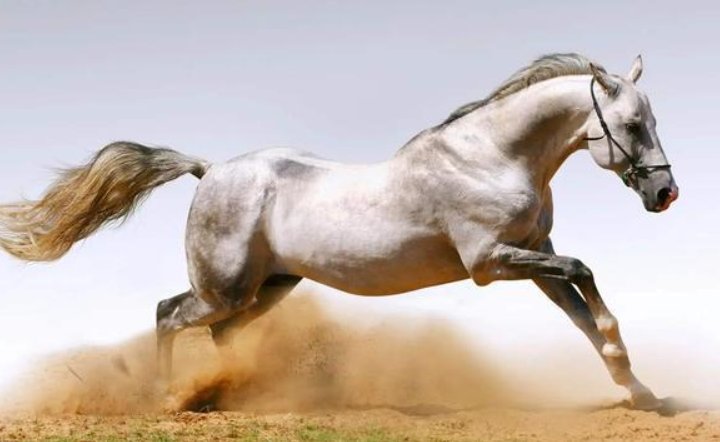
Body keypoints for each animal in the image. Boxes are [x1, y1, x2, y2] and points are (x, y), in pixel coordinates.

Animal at [0, 53, 678, 410]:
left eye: (650, 121)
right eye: (630, 124)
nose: (665, 194)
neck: (491, 156)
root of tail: (209, 171)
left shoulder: (535, 253)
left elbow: (583, 314)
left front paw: (641, 392)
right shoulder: (491, 262)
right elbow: (586, 276)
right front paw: (634, 379)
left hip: (270, 287)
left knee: (219, 334)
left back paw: (235, 394)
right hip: (226, 287)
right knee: (169, 314)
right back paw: (169, 396)